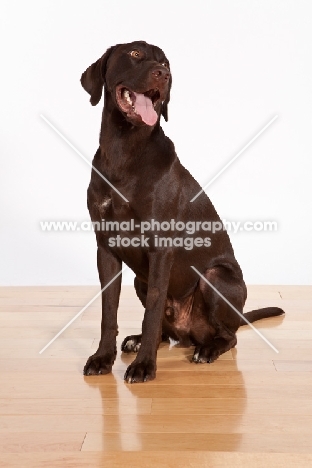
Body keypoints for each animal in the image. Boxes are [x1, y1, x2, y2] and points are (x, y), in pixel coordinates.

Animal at [80, 41, 282, 384]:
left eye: (165, 62)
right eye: (135, 55)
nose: (163, 74)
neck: (124, 149)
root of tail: (189, 334)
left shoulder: (160, 249)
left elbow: (152, 310)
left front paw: (145, 367)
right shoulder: (105, 249)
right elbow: (110, 311)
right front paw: (103, 358)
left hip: (214, 278)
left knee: (229, 336)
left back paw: (207, 350)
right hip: (141, 280)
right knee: (164, 329)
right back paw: (139, 341)